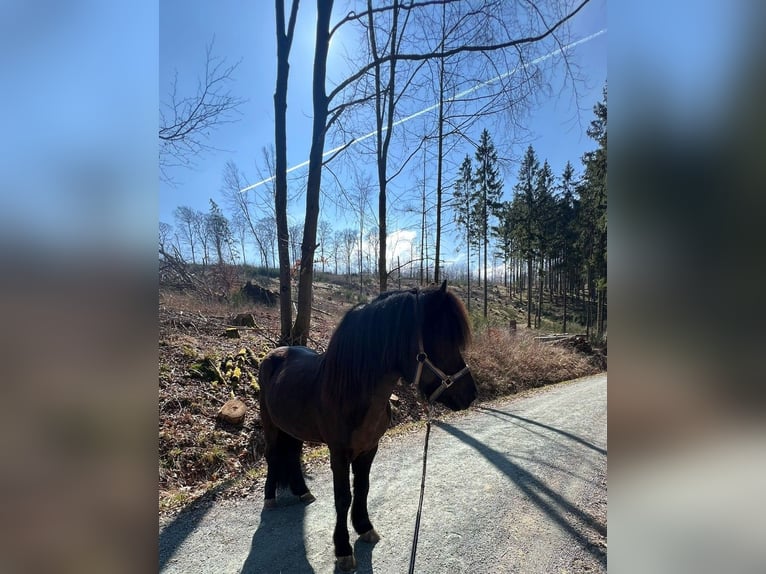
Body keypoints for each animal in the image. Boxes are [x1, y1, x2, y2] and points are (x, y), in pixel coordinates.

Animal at [257, 280, 477, 571]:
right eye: (443, 341)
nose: (471, 394)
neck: (351, 390)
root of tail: (272, 354)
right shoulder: (339, 454)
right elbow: (342, 498)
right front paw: (342, 549)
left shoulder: (370, 448)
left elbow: (362, 488)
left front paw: (364, 527)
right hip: (270, 424)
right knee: (272, 455)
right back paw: (269, 497)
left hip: (293, 427)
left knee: (292, 454)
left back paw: (303, 492)